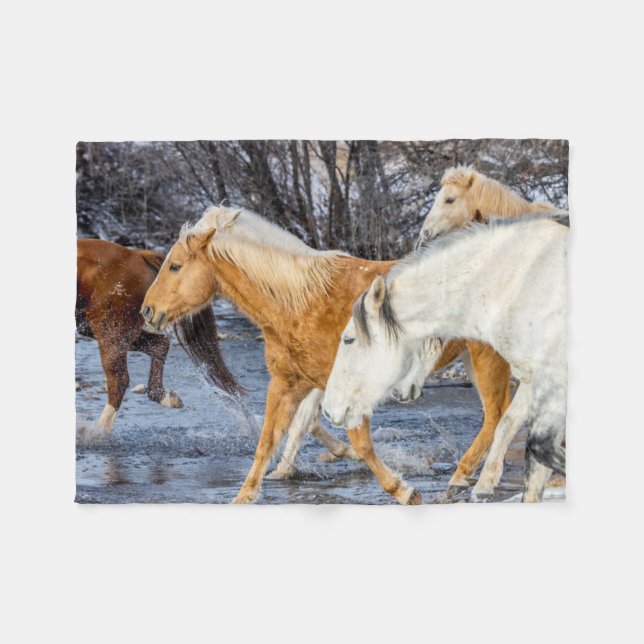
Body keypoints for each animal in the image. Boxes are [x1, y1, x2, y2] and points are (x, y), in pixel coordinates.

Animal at [76, 238, 241, 437]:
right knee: (160, 344)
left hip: (109, 331)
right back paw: (166, 398)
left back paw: (95, 432)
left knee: (119, 379)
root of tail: (136, 255)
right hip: (104, 330)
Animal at [141, 206, 513, 504]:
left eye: (175, 266)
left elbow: (358, 443)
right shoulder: (288, 383)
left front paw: (404, 490)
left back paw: (465, 478)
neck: (300, 301)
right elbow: (268, 442)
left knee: (497, 415)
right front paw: (245, 496)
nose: (147, 310)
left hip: (488, 357)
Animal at [322, 216, 567, 502]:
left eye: (349, 339)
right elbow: (517, 439)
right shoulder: (534, 381)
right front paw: (483, 485)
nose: (329, 409)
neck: (518, 283)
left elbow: (537, 448)